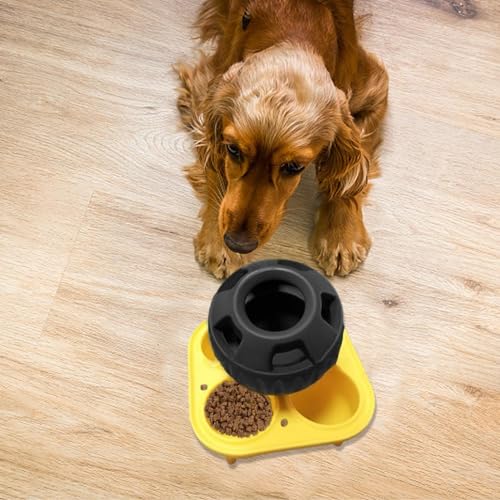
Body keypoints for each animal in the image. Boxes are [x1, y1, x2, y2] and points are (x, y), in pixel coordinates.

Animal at [176, 0, 386, 280]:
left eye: (294, 167)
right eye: (233, 150)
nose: (237, 243)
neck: (293, 33)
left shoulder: (374, 88)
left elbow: (352, 172)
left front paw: (340, 236)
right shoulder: (205, 89)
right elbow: (214, 164)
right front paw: (218, 244)